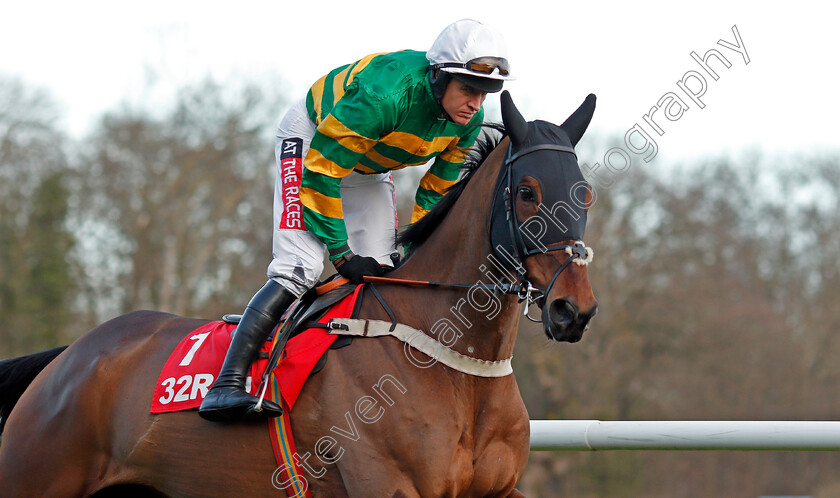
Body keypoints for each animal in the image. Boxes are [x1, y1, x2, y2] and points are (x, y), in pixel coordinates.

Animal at [0, 91, 596, 496]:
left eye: (585, 191)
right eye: (527, 192)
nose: (574, 309)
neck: (456, 366)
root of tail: (70, 359)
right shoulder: (386, 484)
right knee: (291, 267)